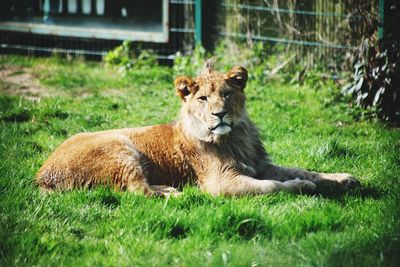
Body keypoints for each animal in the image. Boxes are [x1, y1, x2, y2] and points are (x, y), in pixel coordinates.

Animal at [35, 61, 360, 198]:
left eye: (227, 94)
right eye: (203, 98)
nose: (220, 114)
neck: (234, 136)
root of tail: (41, 175)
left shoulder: (258, 164)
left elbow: (305, 170)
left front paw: (343, 179)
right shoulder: (221, 182)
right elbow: (271, 186)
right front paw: (302, 187)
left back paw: (167, 188)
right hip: (118, 147)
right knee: (136, 190)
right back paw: (178, 195)